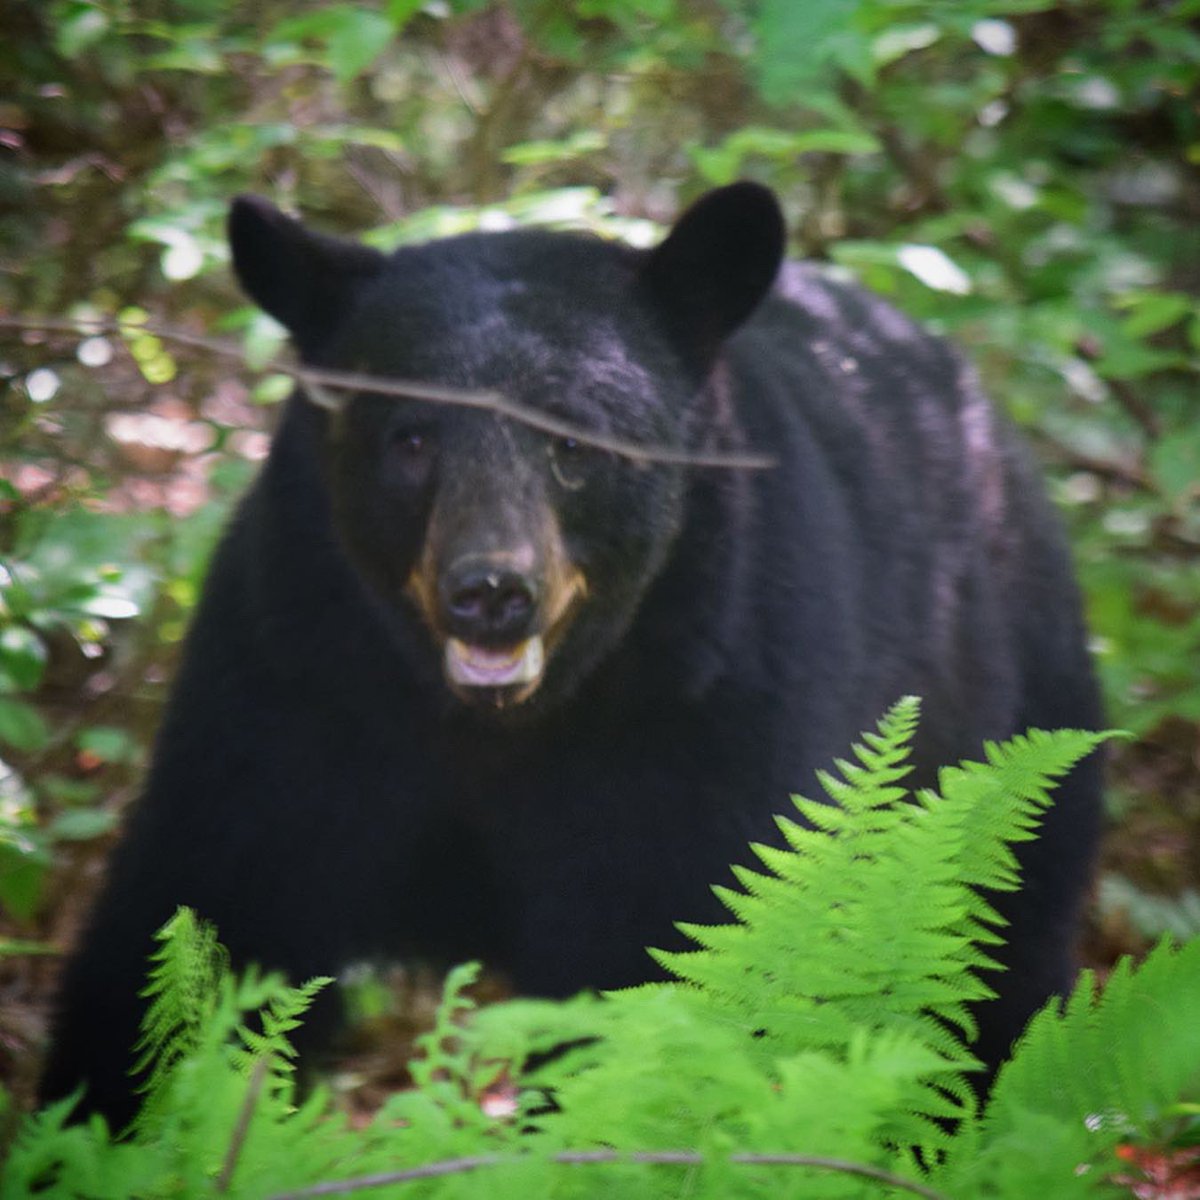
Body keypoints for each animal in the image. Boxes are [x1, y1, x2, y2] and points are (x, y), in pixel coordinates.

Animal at [40, 182, 1103, 1128]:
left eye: (577, 443)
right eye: (410, 436)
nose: (491, 592)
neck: (488, 730)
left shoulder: (708, 710)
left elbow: (658, 966)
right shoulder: (292, 680)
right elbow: (206, 910)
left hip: (1015, 708)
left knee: (1002, 956)